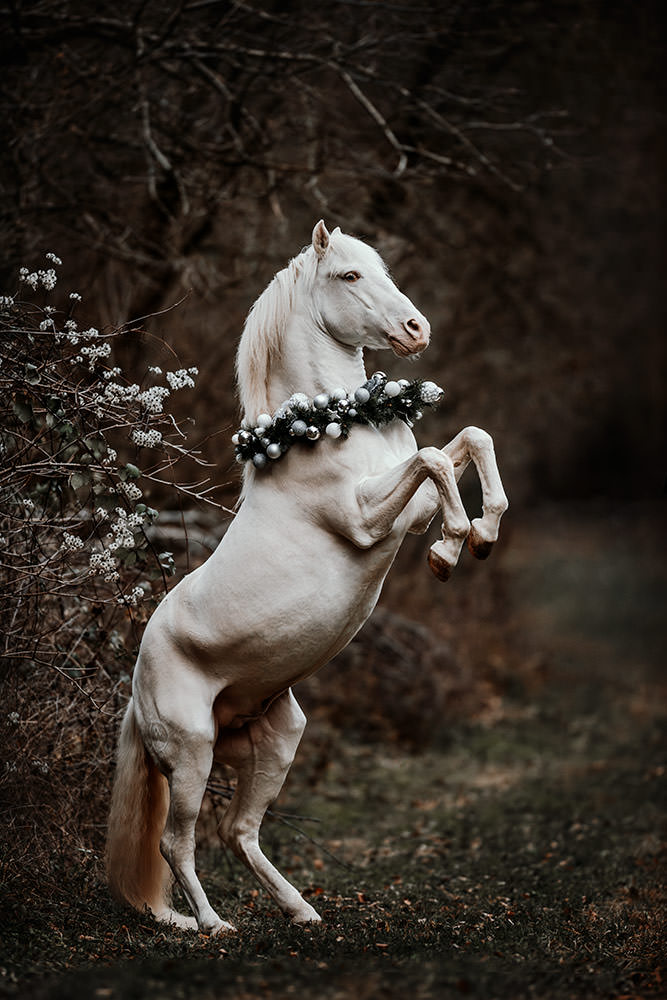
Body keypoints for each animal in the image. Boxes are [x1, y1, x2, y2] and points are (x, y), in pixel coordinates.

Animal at [105, 220, 508, 934]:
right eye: (348, 276)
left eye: (381, 267)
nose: (416, 330)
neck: (329, 420)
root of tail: (136, 688)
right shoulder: (369, 518)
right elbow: (436, 459)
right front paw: (451, 549)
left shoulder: (408, 509)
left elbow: (468, 441)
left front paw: (481, 533)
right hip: (191, 754)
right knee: (178, 841)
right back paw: (212, 925)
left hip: (275, 741)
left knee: (240, 832)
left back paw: (301, 911)